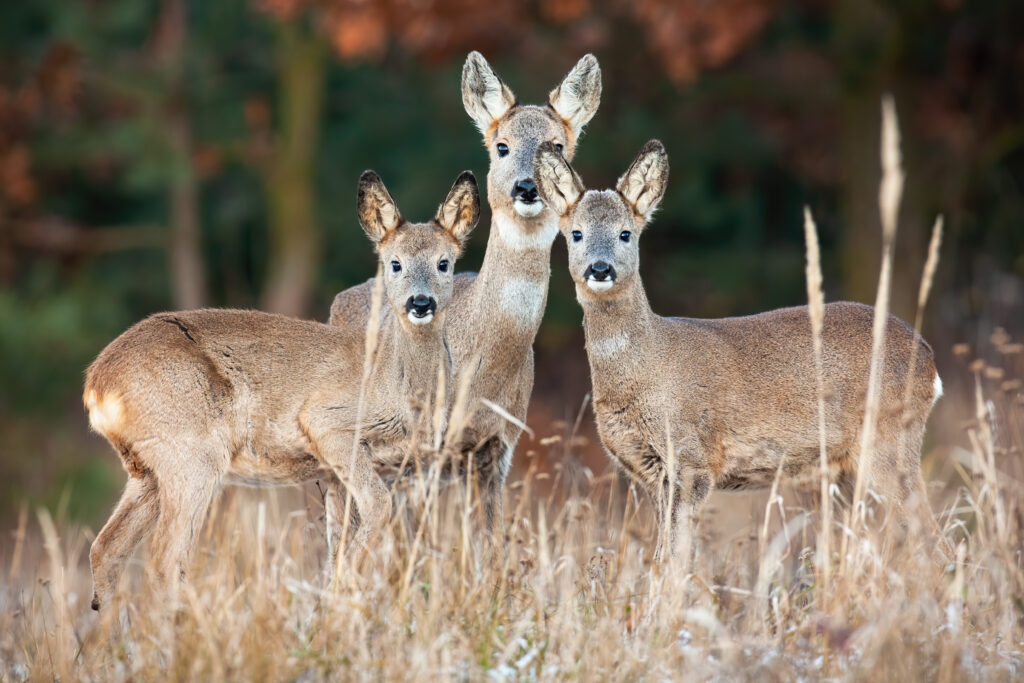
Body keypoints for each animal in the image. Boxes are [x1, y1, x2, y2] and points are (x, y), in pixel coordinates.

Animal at [81, 169, 477, 610]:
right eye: (395, 264)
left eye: (444, 263)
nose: (420, 303)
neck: (397, 383)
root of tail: (96, 385)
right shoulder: (327, 423)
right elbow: (377, 509)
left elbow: (342, 537)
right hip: (189, 453)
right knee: (164, 559)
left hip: (146, 469)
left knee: (106, 549)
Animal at [327, 52, 602, 544]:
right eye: (502, 146)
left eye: (557, 147)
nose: (527, 188)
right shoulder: (423, 449)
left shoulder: (499, 446)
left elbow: (487, 544)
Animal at [536, 141, 942, 565]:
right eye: (576, 234)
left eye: (626, 234)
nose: (600, 269)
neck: (648, 366)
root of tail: (929, 360)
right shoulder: (649, 474)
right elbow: (662, 555)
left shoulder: (691, 460)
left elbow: (676, 558)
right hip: (845, 468)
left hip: (889, 439)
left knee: (931, 535)